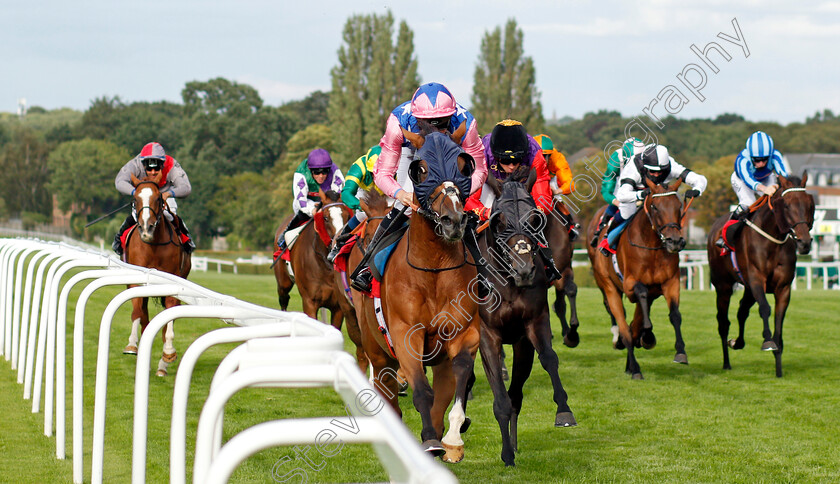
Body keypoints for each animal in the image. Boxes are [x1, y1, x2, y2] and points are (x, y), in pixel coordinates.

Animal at [121, 171, 190, 378]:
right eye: (135, 199)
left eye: (159, 198)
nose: (146, 228)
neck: (153, 245)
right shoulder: (136, 281)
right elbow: (137, 313)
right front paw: (132, 345)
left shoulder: (173, 285)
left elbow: (169, 320)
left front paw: (167, 354)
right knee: (144, 316)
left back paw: (162, 366)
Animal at [360, 136, 480, 462]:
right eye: (420, 170)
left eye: (463, 166)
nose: (454, 221)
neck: (434, 268)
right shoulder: (405, 334)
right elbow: (421, 391)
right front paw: (429, 441)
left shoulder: (463, 332)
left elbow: (460, 374)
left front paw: (452, 438)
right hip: (378, 352)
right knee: (388, 392)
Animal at [476, 172, 576, 466]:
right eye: (499, 220)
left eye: (534, 219)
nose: (524, 270)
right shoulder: (487, 334)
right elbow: (500, 398)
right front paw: (506, 454)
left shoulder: (532, 325)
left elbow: (549, 359)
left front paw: (564, 411)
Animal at [588, 180, 692, 380]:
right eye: (655, 207)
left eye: (679, 206)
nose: (674, 241)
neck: (651, 246)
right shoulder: (630, 285)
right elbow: (641, 301)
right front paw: (647, 335)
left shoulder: (670, 282)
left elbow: (675, 315)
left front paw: (681, 352)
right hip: (608, 285)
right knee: (624, 325)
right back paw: (635, 367)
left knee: (633, 325)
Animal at [704, 174, 816, 378]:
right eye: (786, 205)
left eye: (809, 204)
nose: (804, 243)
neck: (773, 240)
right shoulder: (756, 280)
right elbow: (765, 308)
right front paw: (768, 342)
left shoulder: (783, 288)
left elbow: (779, 320)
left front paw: (778, 366)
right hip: (723, 286)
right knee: (723, 322)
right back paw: (726, 363)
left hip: (747, 288)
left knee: (741, 311)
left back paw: (737, 342)